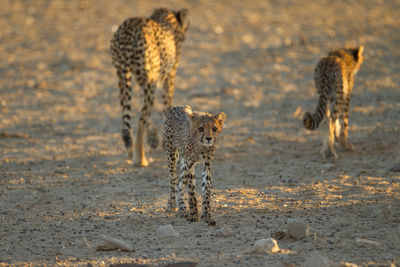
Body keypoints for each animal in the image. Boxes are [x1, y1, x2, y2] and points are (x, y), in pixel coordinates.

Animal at [110, 7, 190, 168]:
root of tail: (127, 29)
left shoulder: (144, 81)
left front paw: (153, 139)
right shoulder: (169, 76)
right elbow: (166, 107)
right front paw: (164, 143)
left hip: (123, 77)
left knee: (130, 121)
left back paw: (132, 151)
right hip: (149, 82)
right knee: (141, 119)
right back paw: (140, 159)